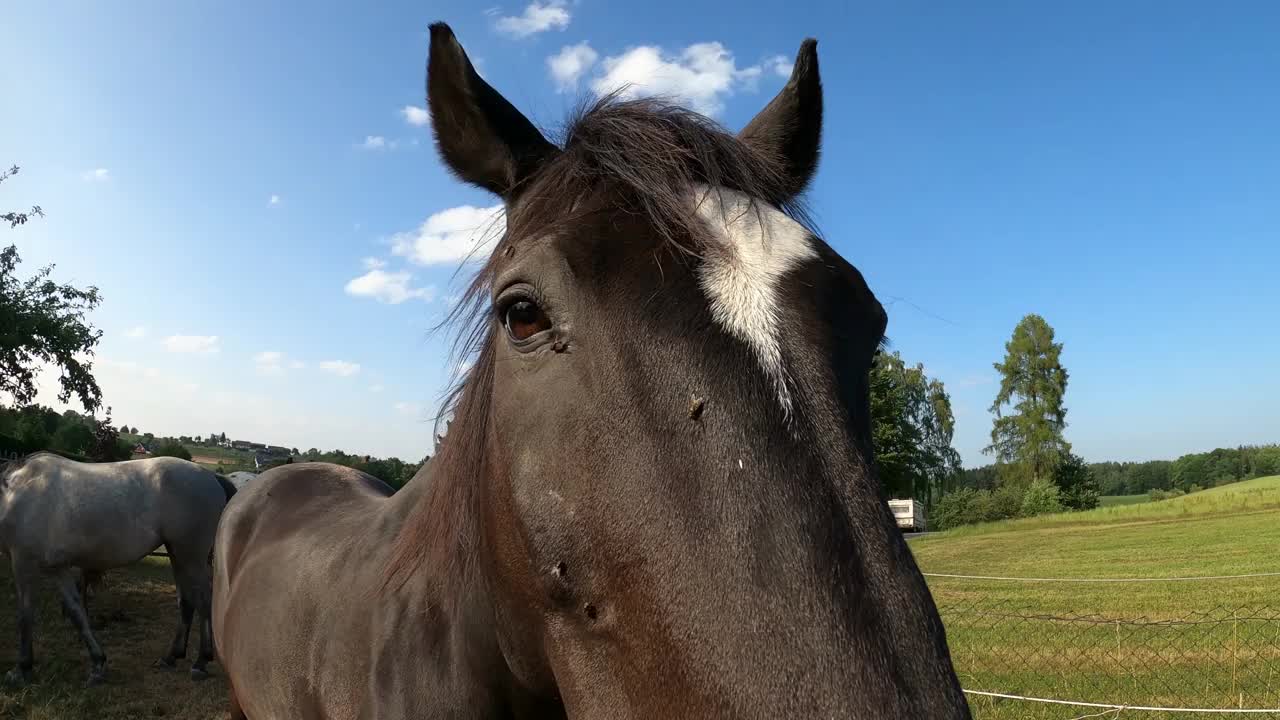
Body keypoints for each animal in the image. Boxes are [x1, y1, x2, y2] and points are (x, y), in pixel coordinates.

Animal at [0, 450, 235, 681]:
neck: (15, 493)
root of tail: (211, 476)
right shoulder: (58, 568)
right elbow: (77, 612)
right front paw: (97, 663)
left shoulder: (23, 563)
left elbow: (25, 615)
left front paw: (22, 668)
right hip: (178, 555)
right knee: (186, 601)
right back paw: (170, 657)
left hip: (191, 557)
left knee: (203, 602)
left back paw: (200, 662)